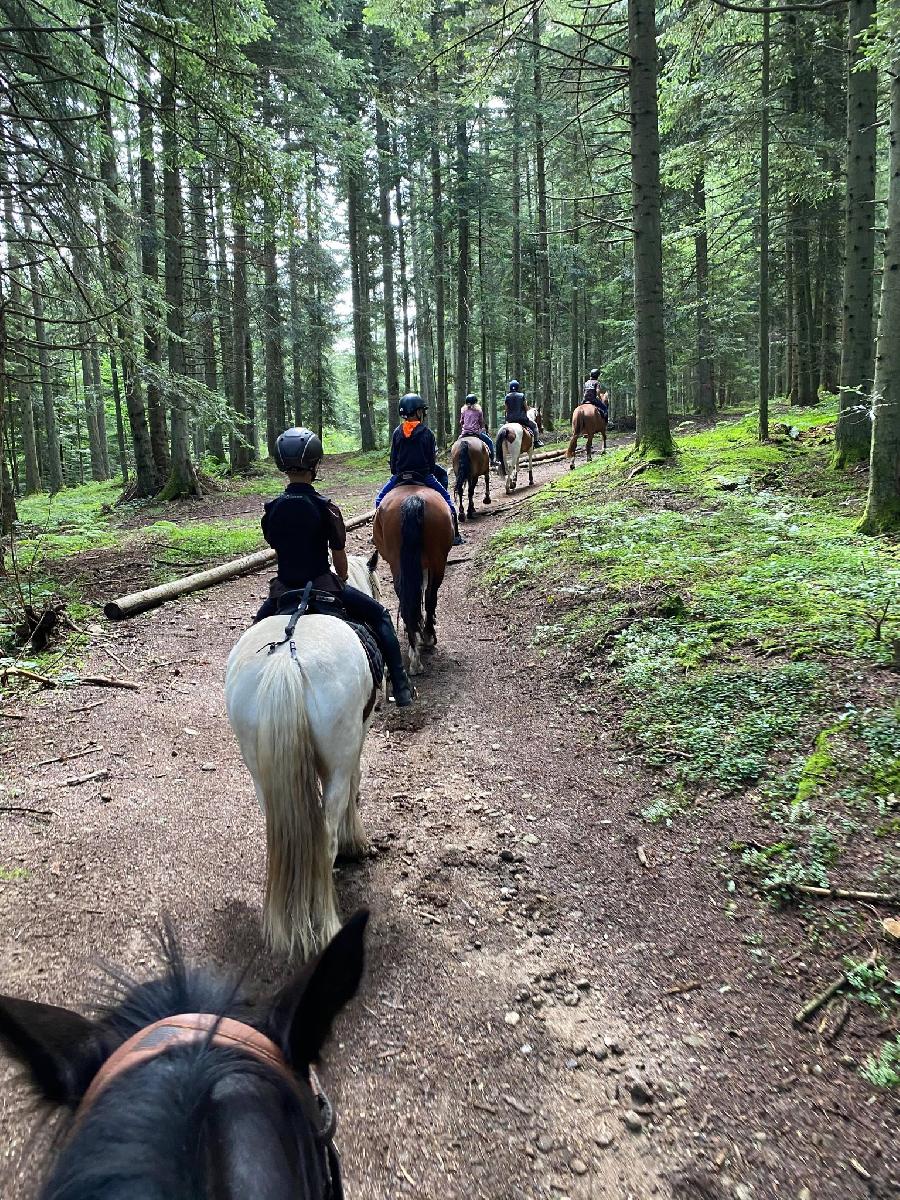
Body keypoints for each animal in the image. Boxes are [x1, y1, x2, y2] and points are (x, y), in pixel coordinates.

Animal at [225, 556, 384, 960]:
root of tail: (287, 655)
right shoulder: (358, 737)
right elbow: (356, 782)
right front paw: (357, 843)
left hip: (259, 768)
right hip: (337, 757)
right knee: (324, 838)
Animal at [374, 484, 453, 676]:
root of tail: (413, 499)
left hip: (399, 563)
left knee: (407, 598)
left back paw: (414, 653)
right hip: (438, 561)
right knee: (430, 596)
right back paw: (427, 637)